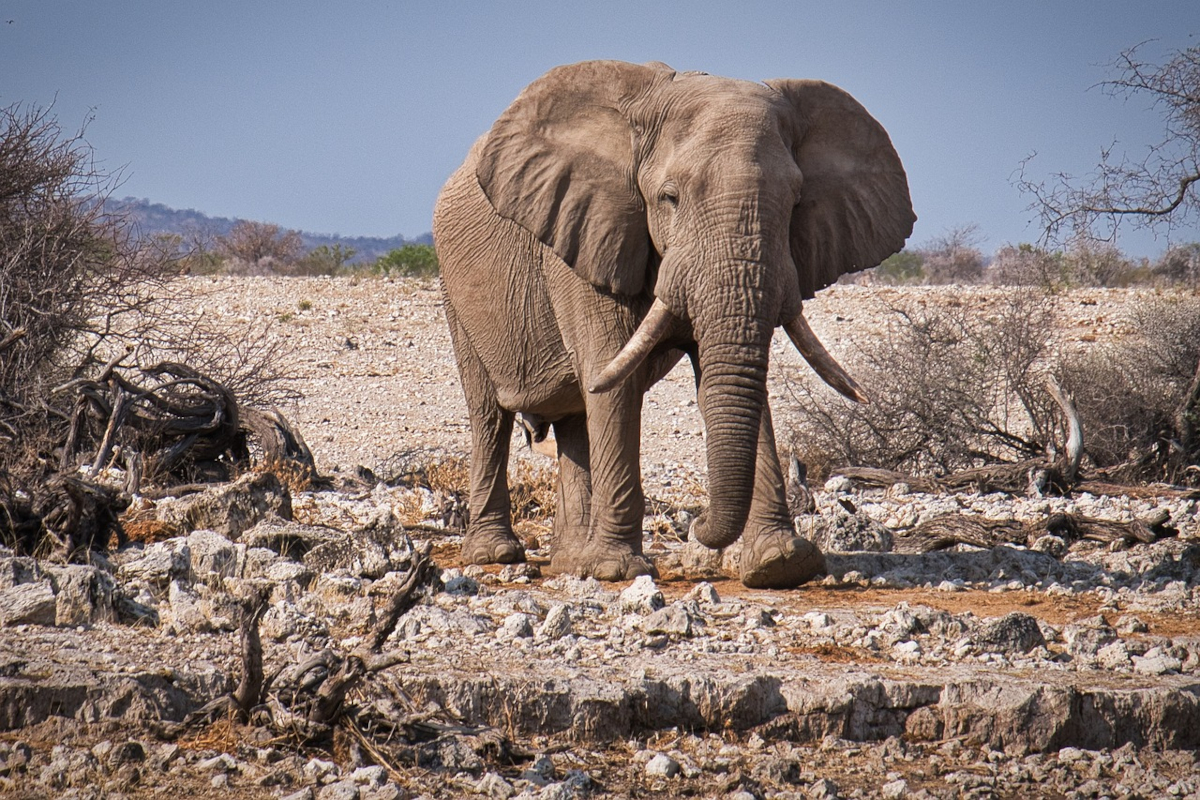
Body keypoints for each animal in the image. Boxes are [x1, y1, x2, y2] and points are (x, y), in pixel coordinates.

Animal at [433, 60, 914, 588]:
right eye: (670, 198)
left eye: (795, 204)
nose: (699, 525)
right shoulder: (586, 236)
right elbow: (612, 379)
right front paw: (617, 570)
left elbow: (728, 379)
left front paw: (782, 564)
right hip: (455, 290)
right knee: (489, 415)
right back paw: (497, 555)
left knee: (576, 418)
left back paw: (569, 562)